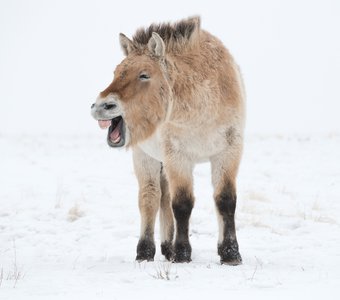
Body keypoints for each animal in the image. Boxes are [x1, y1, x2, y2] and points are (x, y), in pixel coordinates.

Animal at [90, 16, 244, 264]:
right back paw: (146, 251)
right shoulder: (178, 157)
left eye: (144, 75)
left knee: (164, 197)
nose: (101, 106)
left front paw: (230, 254)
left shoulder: (229, 152)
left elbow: (226, 200)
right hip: (146, 157)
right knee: (151, 198)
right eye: (115, 72)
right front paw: (182, 253)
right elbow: (182, 204)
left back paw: (167, 248)